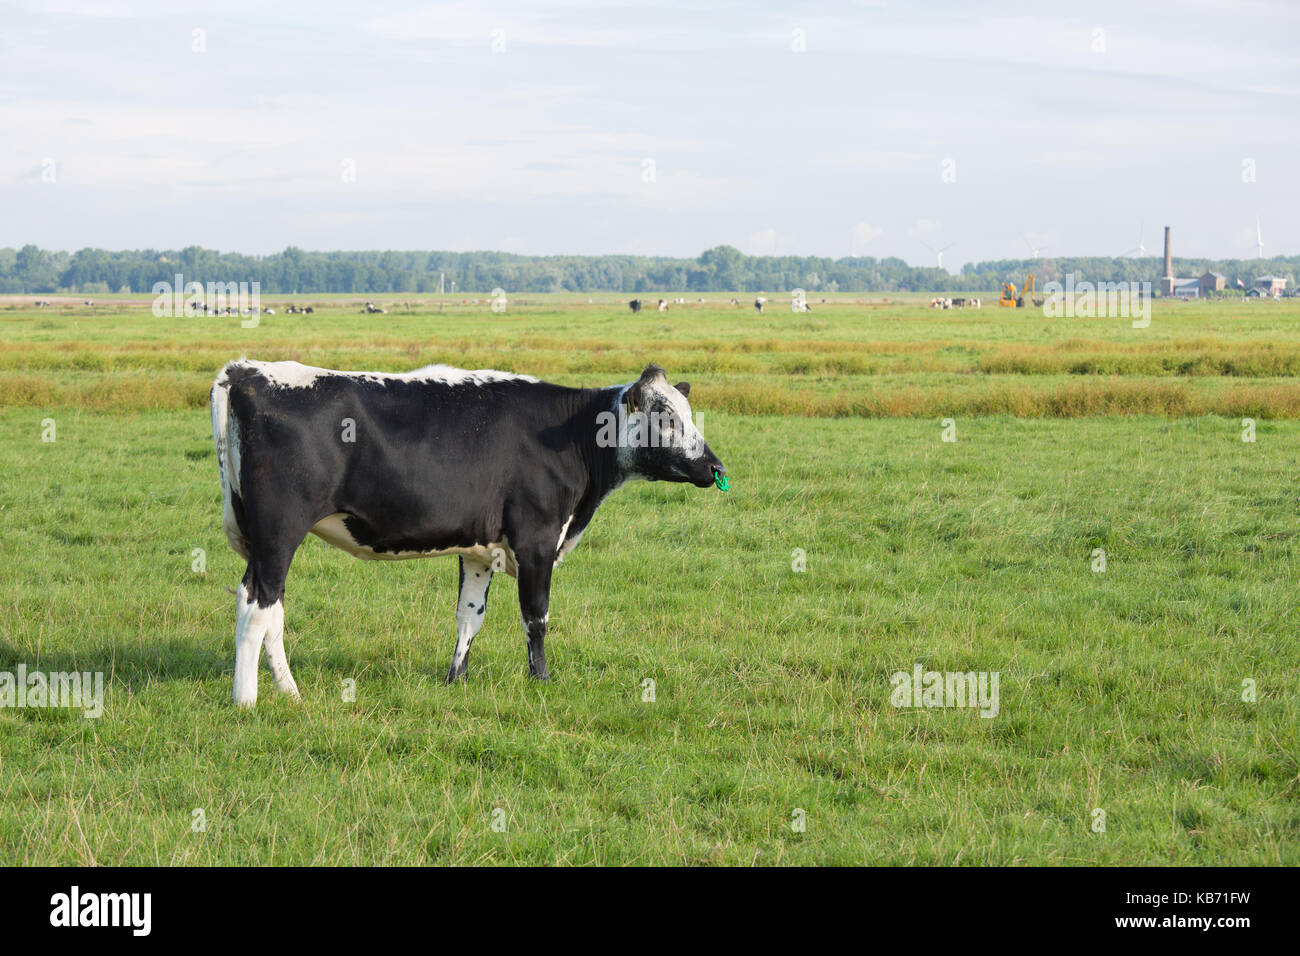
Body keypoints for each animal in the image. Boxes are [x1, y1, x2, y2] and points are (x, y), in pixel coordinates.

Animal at [208, 358, 728, 702]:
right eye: (666, 417)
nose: (716, 467)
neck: (573, 434)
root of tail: (248, 371)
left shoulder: (480, 550)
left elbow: (469, 616)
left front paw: (454, 679)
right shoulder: (537, 539)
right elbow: (536, 617)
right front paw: (541, 681)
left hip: (265, 540)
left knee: (271, 607)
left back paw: (289, 691)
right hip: (279, 532)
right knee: (255, 606)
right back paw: (248, 700)